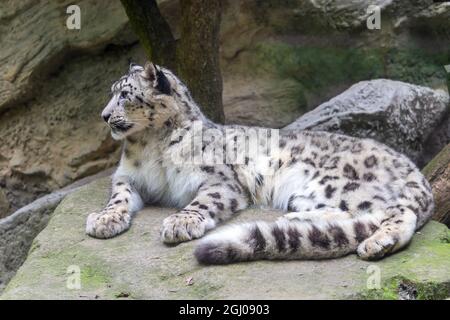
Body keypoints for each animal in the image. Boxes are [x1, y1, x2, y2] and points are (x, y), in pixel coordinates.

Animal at [84, 62, 432, 264]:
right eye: (113, 93)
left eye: (125, 95)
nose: (103, 115)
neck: (151, 144)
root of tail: (415, 172)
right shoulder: (127, 177)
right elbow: (118, 198)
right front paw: (104, 219)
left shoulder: (219, 181)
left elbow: (202, 202)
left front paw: (180, 223)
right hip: (306, 194)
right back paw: (294, 221)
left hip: (338, 184)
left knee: (396, 211)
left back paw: (379, 243)